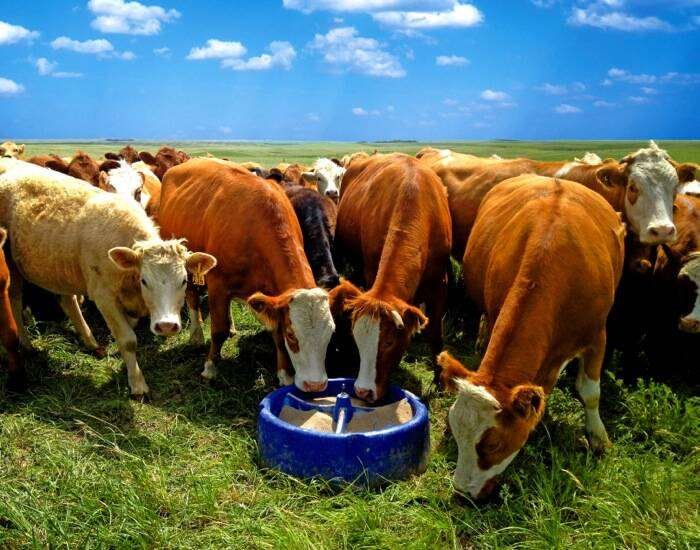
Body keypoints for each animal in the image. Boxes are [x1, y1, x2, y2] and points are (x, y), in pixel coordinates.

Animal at [0, 159, 216, 396]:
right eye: (145, 281)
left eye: (184, 281)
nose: (167, 326)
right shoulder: (104, 298)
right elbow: (128, 339)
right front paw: (137, 384)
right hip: (11, 265)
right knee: (15, 299)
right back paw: (26, 344)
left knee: (67, 299)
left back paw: (91, 342)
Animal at [157, 158, 335, 391]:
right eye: (292, 335)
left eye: (330, 334)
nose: (315, 385)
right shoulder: (218, 283)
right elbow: (218, 330)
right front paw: (210, 367)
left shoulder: (272, 296)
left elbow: (274, 331)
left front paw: (284, 374)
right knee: (192, 296)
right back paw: (196, 334)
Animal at [329, 154, 452, 402]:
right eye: (357, 338)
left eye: (388, 342)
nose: (363, 391)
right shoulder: (370, 272)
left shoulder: (439, 284)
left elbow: (436, 333)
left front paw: (439, 381)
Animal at [438, 175, 625, 500]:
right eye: (455, 432)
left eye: (492, 444)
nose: (462, 494)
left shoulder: (596, 335)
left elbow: (591, 392)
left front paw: (598, 438)